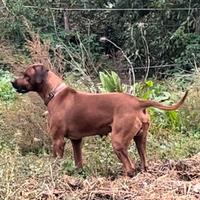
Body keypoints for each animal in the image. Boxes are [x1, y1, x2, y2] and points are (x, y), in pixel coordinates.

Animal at [12, 63, 188, 177]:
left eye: (26, 76)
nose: (12, 82)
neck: (54, 93)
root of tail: (138, 101)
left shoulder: (58, 140)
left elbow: (57, 161)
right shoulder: (76, 140)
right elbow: (78, 161)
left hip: (118, 140)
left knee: (130, 168)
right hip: (141, 139)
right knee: (143, 162)